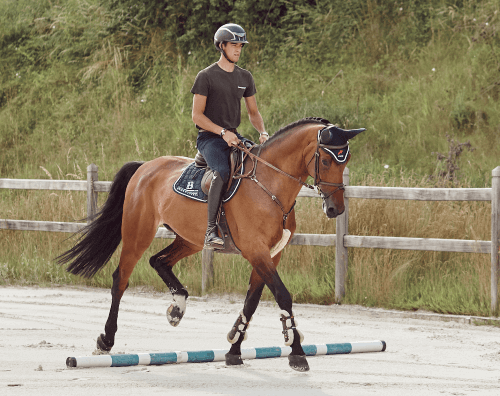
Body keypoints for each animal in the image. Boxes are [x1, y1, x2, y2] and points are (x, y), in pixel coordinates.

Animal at [56, 117, 366, 372]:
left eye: (346, 160)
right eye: (326, 161)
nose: (336, 209)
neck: (269, 186)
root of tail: (145, 166)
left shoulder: (269, 255)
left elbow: (252, 301)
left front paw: (233, 349)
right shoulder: (256, 250)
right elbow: (283, 295)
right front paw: (297, 352)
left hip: (190, 239)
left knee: (159, 261)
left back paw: (177, 307)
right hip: (137, 234)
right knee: (121, 278)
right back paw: (106, 340)